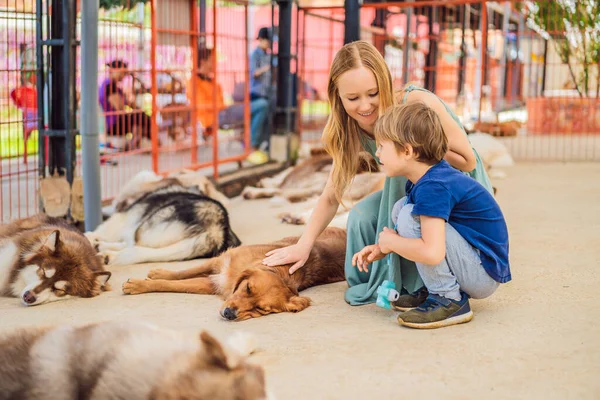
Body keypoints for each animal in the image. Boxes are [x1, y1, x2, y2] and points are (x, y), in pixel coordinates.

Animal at [122, 227, 346, 320]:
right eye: (247, 288)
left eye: (261, 309)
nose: (229, 314)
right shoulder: (220, 261)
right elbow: (183, 273)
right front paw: (157, 274)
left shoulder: (213, 283)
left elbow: (177, 285)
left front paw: (139, 285)